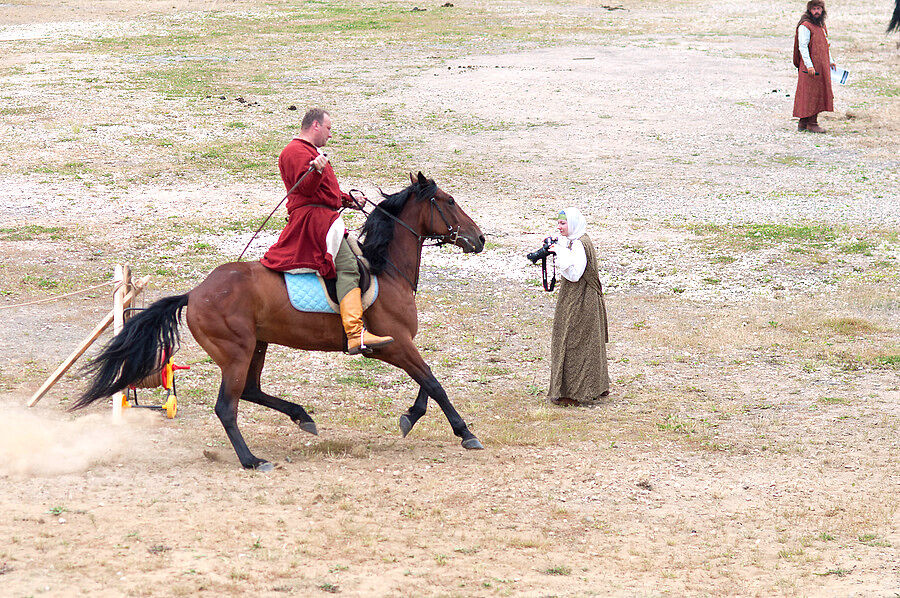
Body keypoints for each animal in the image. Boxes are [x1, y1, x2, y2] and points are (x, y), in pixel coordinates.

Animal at [75, 171, 486, 472]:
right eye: (450, 201)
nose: (479, 238)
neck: (387, 271)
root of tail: (195, 292)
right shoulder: (395, 344)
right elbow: (433, 383)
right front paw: (465, 433)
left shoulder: (400, 345)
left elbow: (426, 383)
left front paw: (411, 417)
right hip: (237, 353)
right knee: (227, 406)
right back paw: (251, 460)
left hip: (257, 345)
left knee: (251, 391)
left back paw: (300, 416)